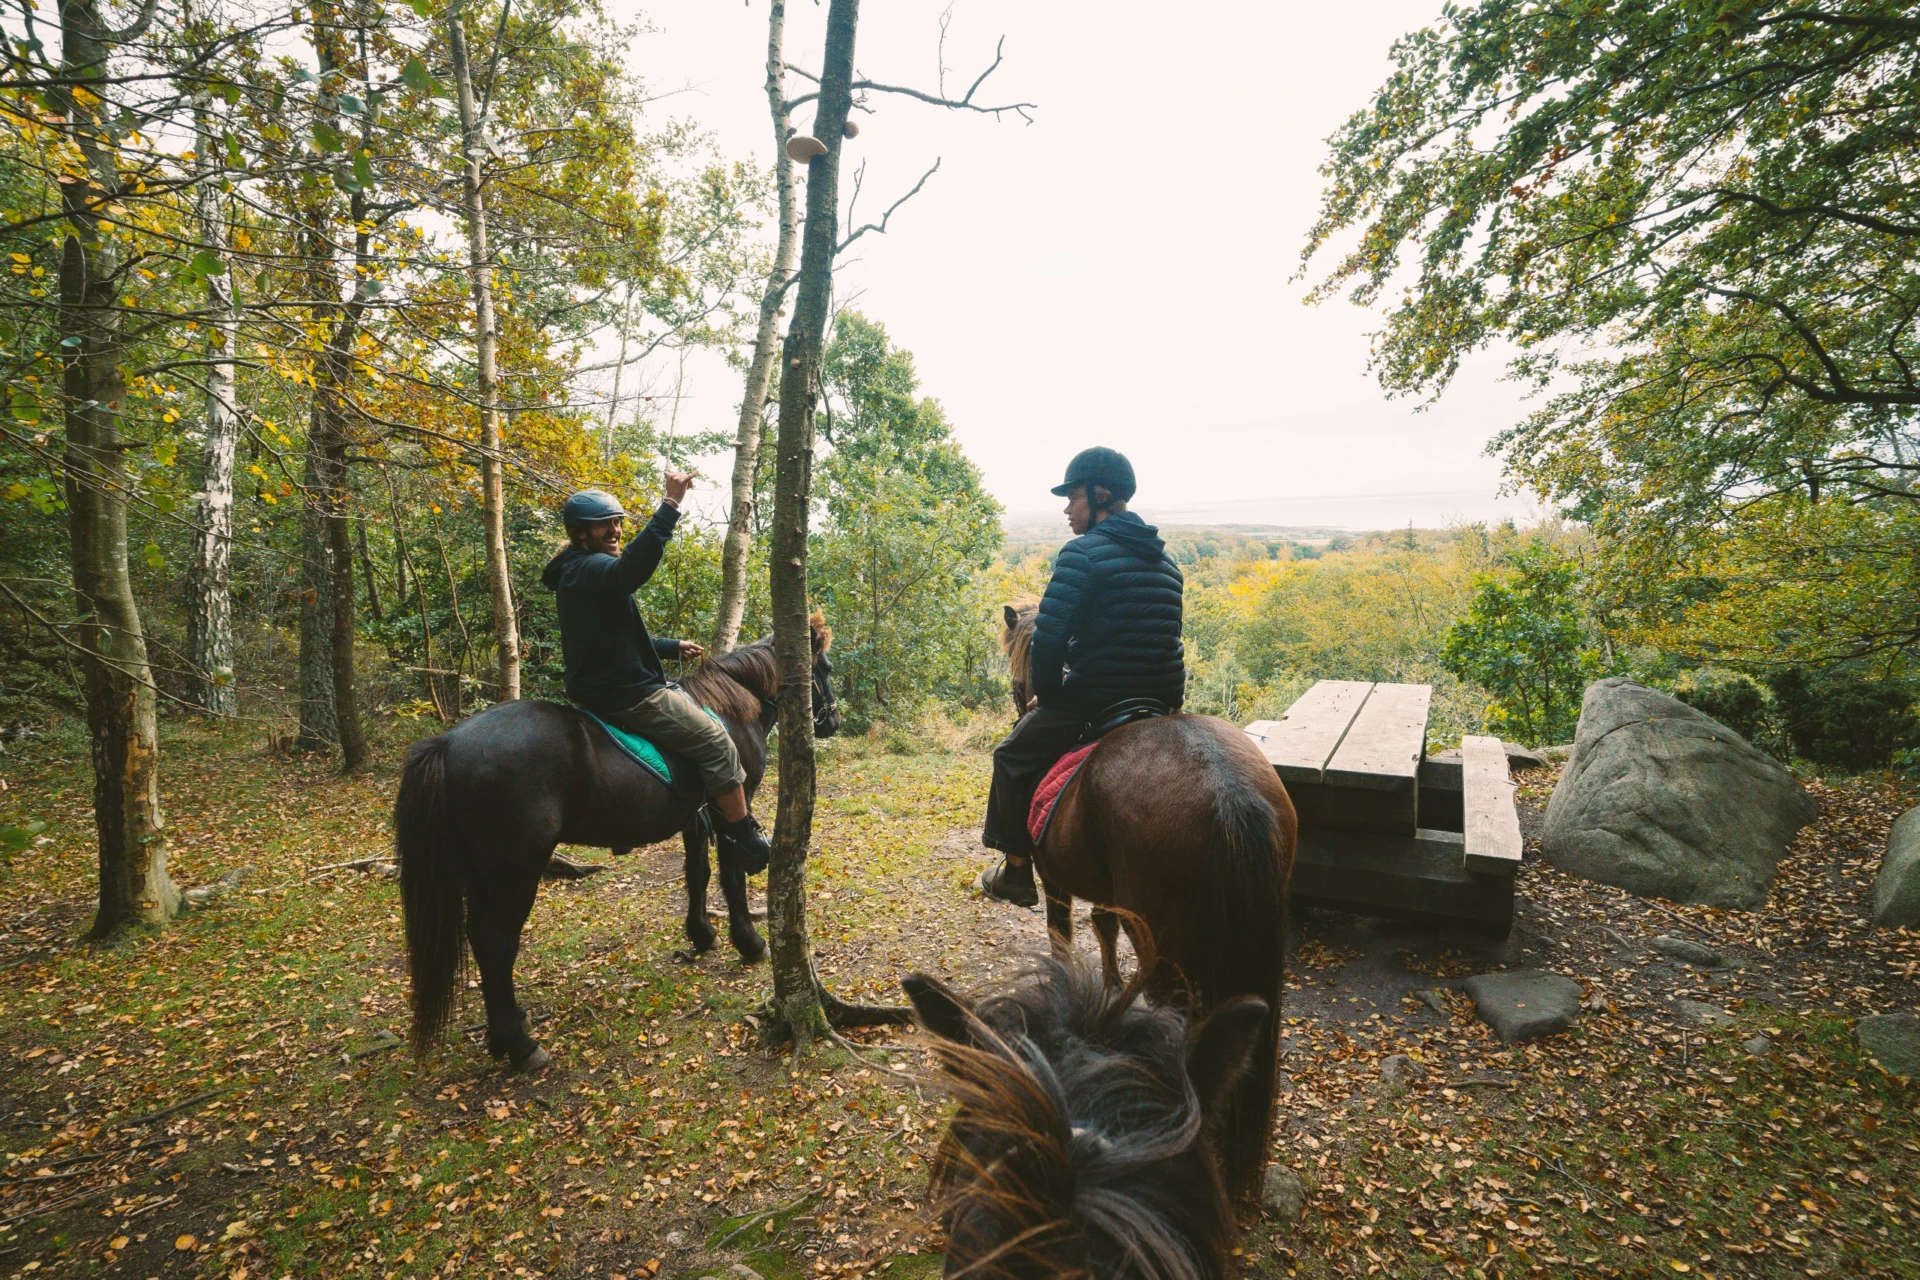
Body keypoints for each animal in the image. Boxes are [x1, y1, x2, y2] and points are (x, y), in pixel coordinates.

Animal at [393, 617, 837, 1074]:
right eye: (826, 669)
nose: (832, 721)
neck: (733, 708)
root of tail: (446, 743)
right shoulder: (730, 804)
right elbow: (732, 878)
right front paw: (749, 942)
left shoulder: (695, 818)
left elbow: (697, 875)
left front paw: (701, 935)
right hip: (514, 871)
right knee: (497, 941)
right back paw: (519, 1045)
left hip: (482, 871)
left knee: (479, 940)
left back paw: (509, 1026)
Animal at [998, 602, 1297, 1205]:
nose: (1023, 702)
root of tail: (1227, 788)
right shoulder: (1112, 896)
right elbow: (1103, 928)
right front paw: (1110, 988)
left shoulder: (1056, 881)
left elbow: (1063, 938)